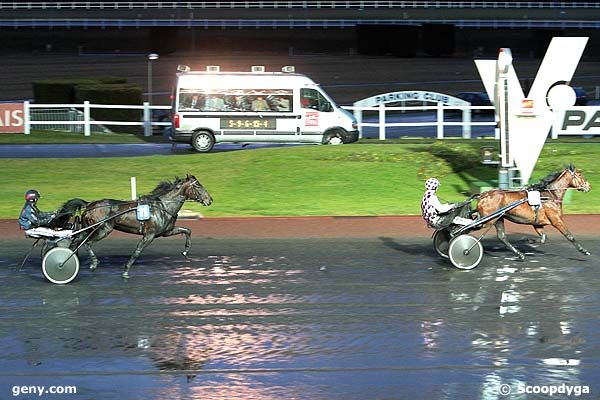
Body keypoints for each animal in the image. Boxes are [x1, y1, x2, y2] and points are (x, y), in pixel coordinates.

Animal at [63, 175, 212, 278]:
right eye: (198, 186)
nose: (210, 200)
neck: (163, 206)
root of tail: (89, 204)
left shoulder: (166, 231)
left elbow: (187, 230)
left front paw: (186, 251)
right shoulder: (149, 235)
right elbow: (137, 251)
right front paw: (126, 269)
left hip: (88, 228)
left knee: (75, 242)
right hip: (102, 229)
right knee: (86, 243)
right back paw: (92, 263)